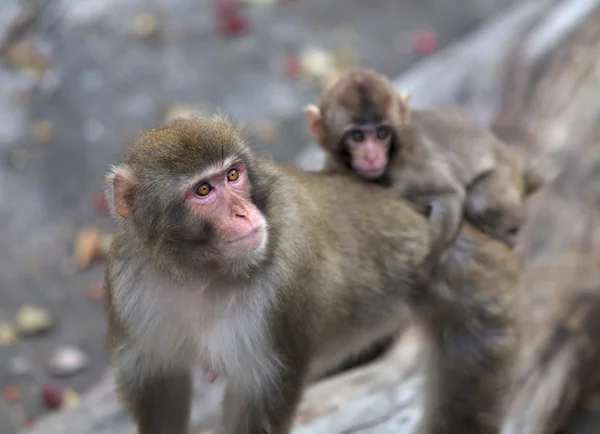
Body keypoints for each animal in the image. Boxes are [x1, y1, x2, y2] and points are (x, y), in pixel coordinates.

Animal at [304, 67, 544, 278]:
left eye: (382, 134)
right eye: (357, 137)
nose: (372, 157)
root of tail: (507, 151)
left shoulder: (408, 169)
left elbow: (450, 195)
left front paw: (422, 270)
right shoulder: (333, 165)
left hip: (507, 174)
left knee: (479, 202)